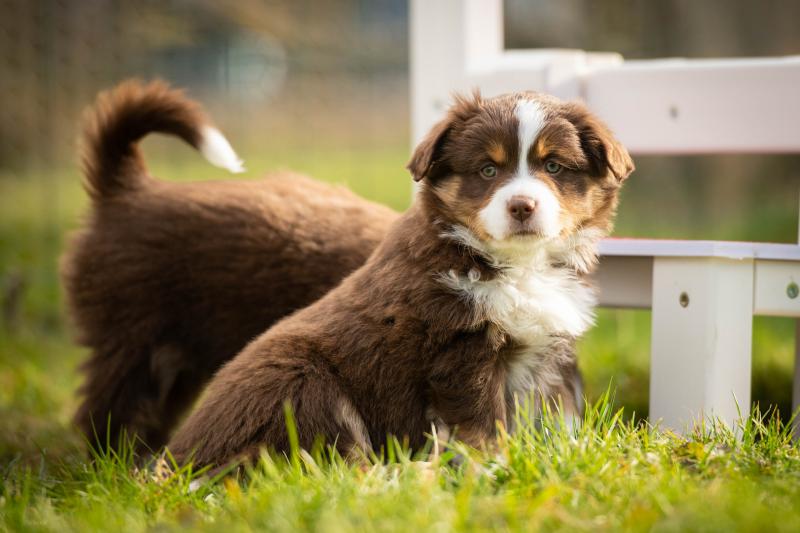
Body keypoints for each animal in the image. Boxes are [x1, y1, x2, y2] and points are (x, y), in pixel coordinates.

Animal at [167, 88, 632, 466]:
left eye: (553, 167)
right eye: (487, 170)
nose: (522, 206)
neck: (516, 264)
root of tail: (176, 458)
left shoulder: (549, 348)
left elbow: (559, 414)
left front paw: (568, 459)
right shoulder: (461, 349)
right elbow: (482, 426)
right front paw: (493, 468)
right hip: (301, 383)